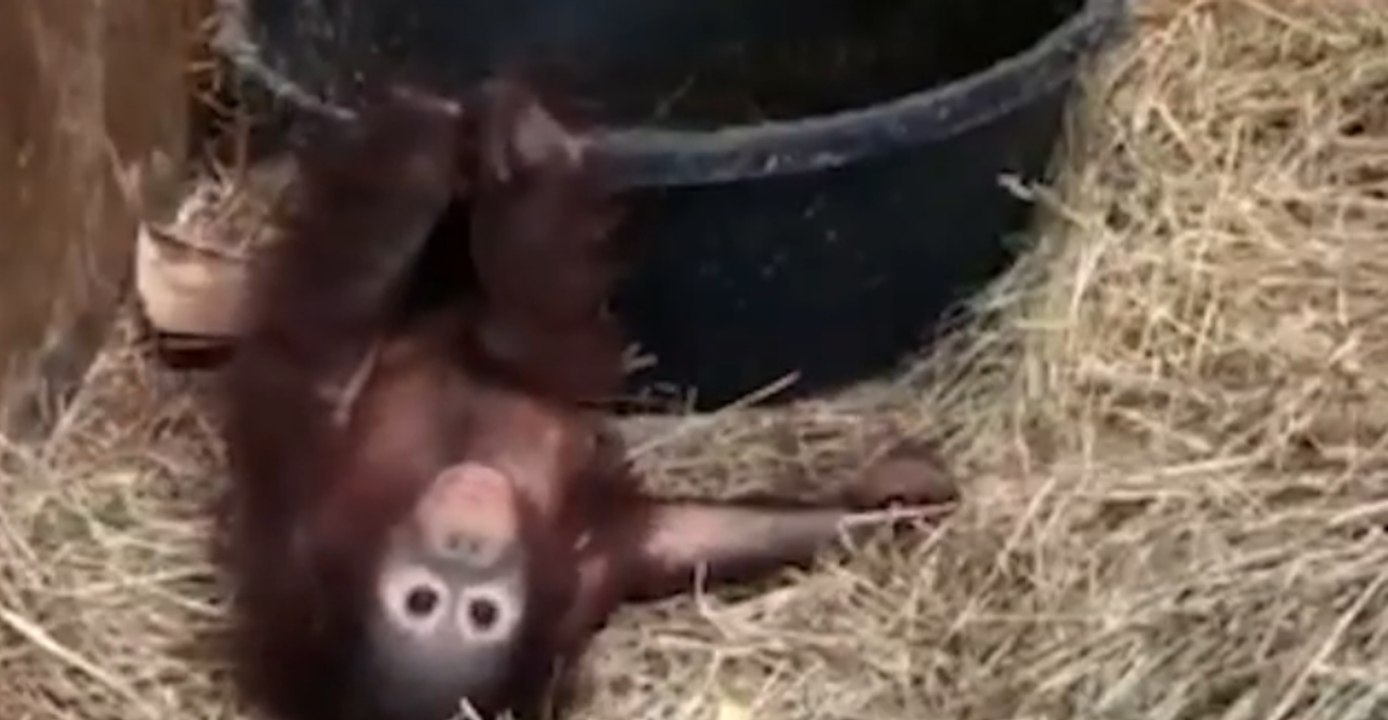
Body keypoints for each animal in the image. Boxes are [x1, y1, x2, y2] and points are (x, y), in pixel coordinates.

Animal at [215, 78, 959, 720]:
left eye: (480, 614)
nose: (465, 541)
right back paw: (497, 146)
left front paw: (902, 504)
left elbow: (699, 535)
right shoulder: (296, 536)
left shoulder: (597, 560)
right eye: (425, 602)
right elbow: (325, 358)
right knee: (519, 317)